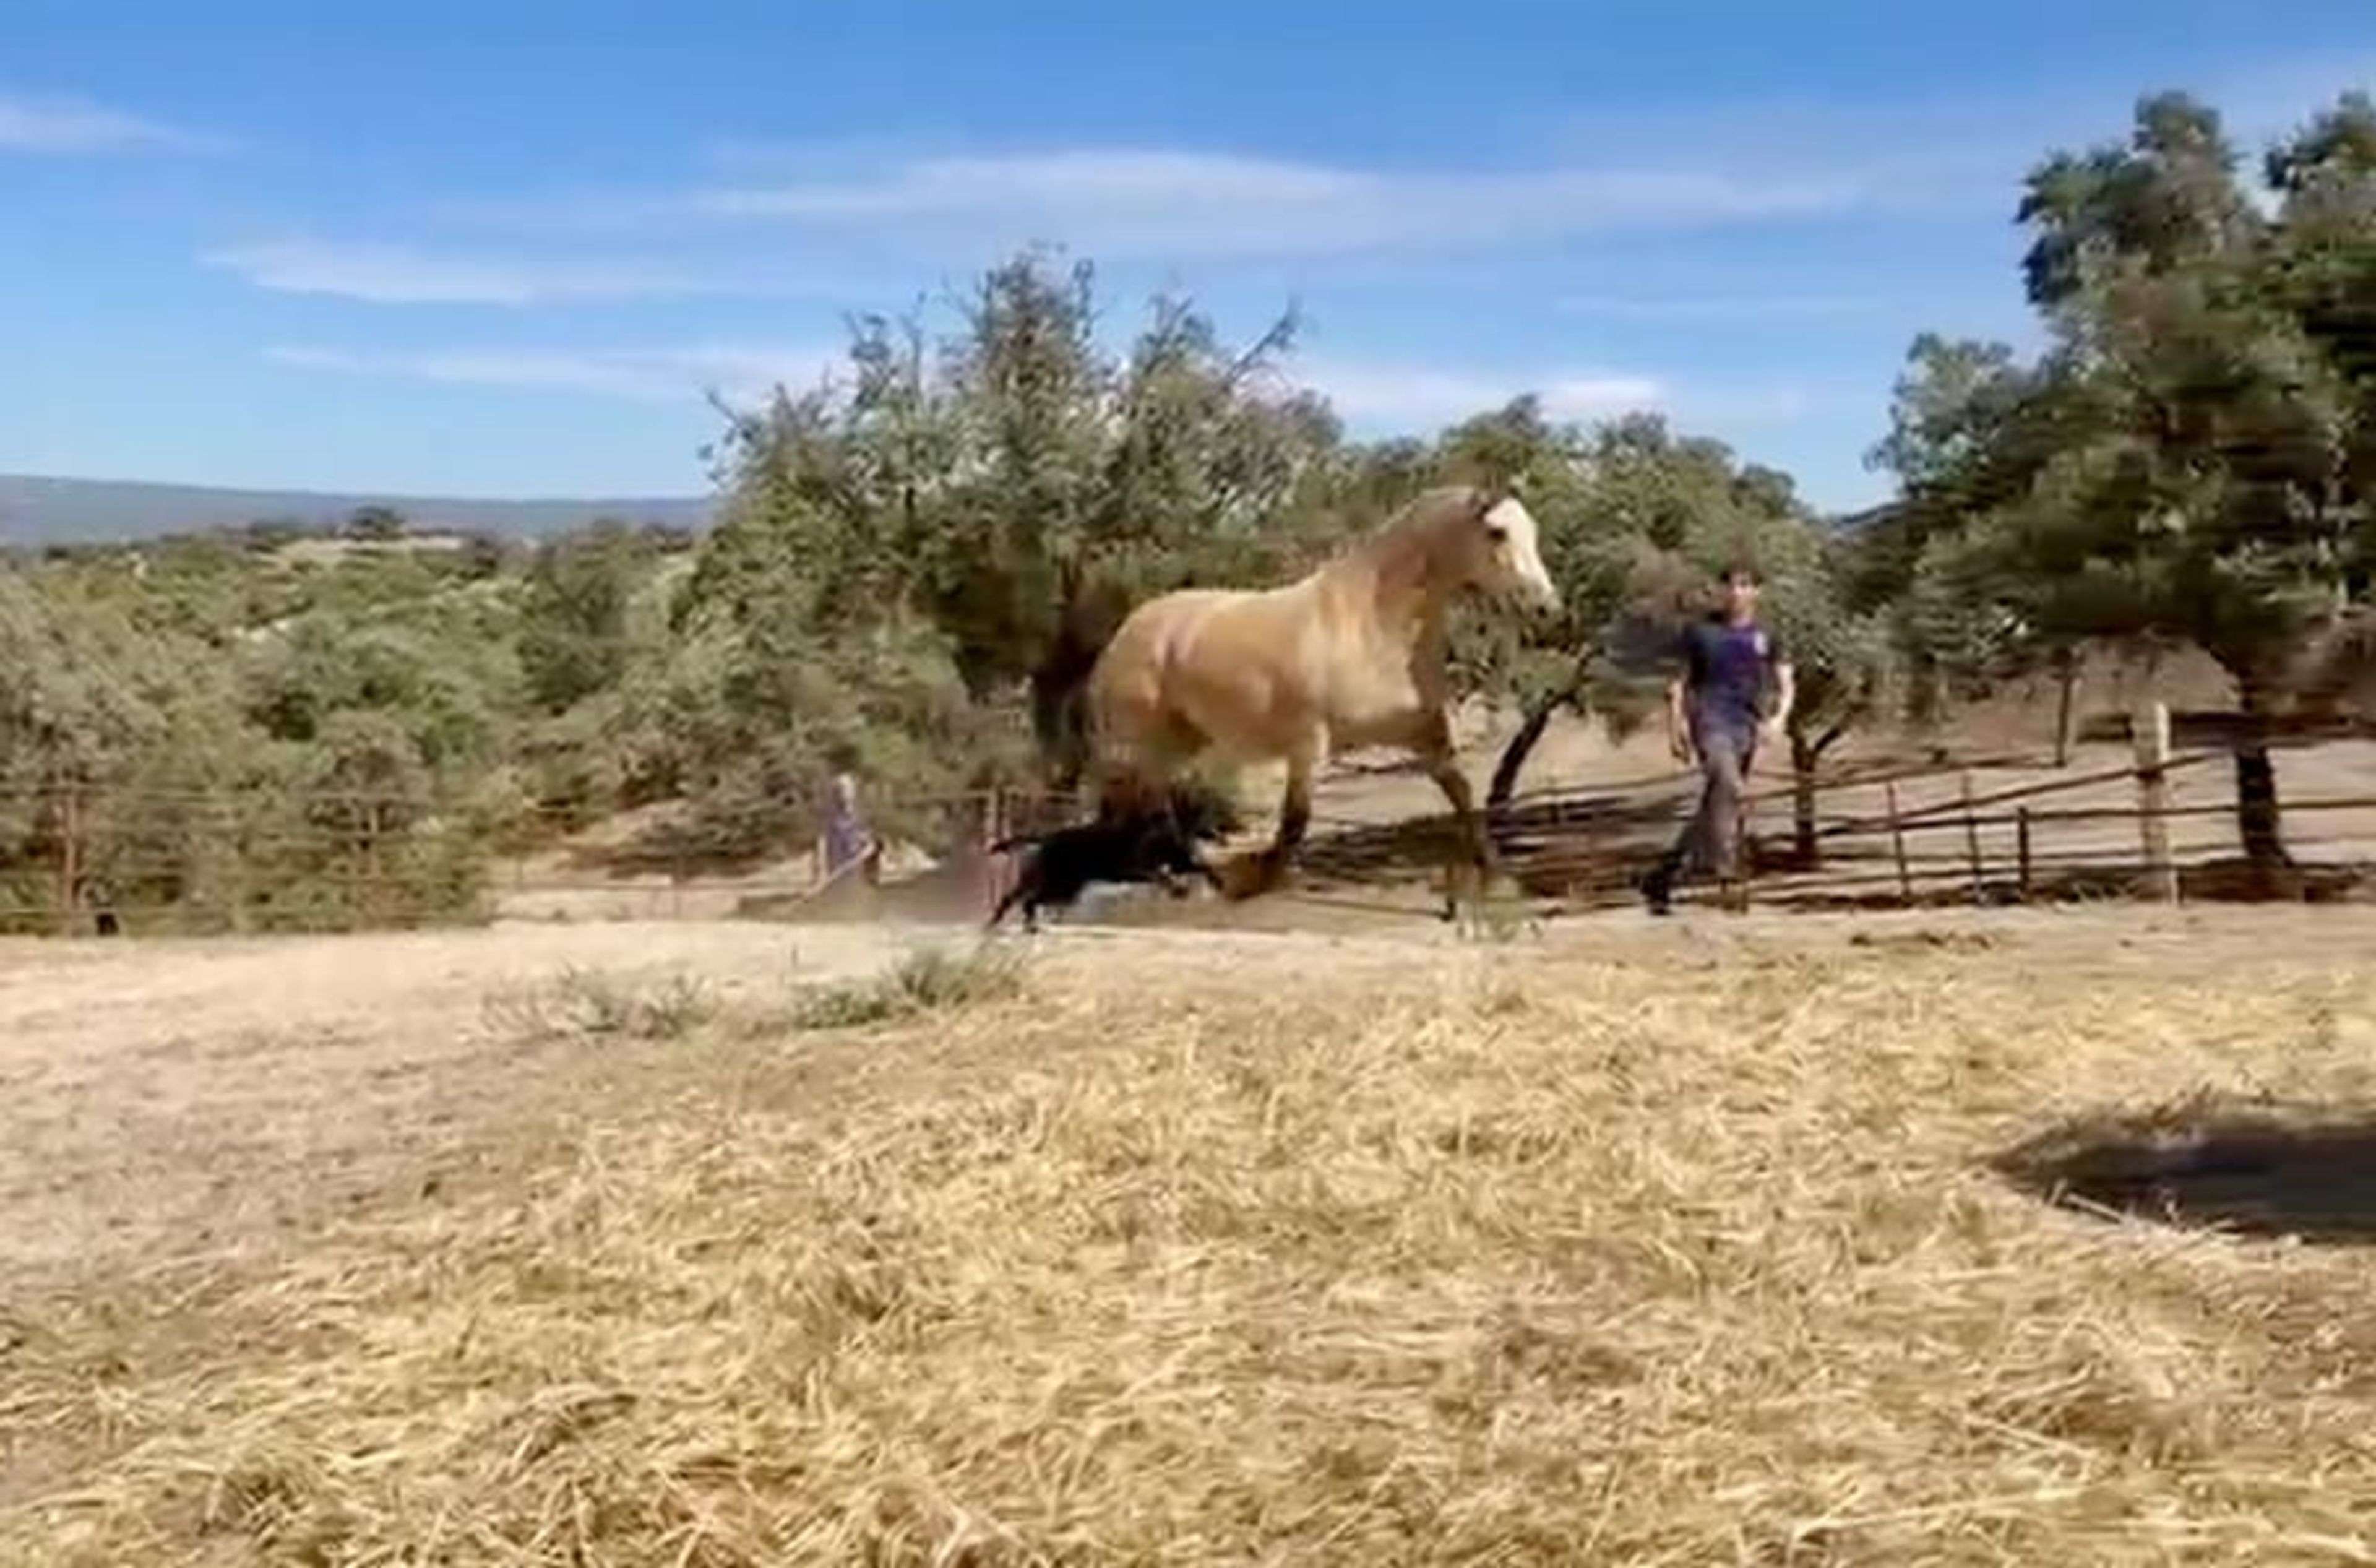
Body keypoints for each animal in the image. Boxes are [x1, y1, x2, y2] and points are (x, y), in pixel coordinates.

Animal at [1077, 483, 1559, 910]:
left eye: (1533, 530)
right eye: (1497, 532)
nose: (1546, 608)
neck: (1372, 624)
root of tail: (1129, 629)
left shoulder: (1425, 733)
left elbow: (1463, 797)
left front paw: (1500, 874)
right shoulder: (1308, 744)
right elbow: (1295, 822)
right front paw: (1257, 882)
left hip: (1182, 742)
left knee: (1151, 807)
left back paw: (1189, 871)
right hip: (1143, 743)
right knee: (1137, 809)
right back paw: (1171, 876)